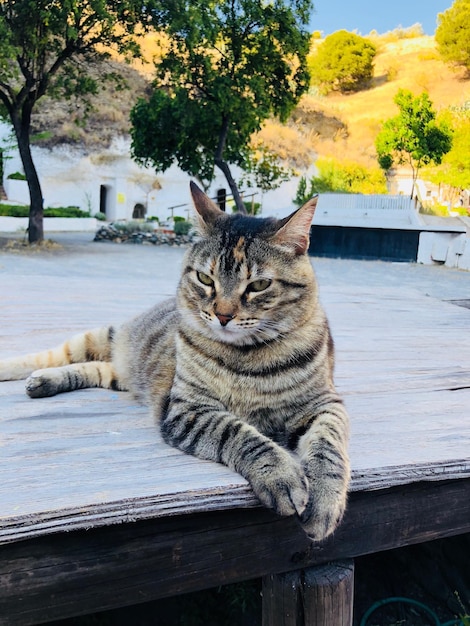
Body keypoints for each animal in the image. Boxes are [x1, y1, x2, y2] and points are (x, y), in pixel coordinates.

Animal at [0, 182, 348, 540]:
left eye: (259, 285)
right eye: (205, 279)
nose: (223, 316)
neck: (247, 356)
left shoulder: (324, 403)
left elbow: (328, 446)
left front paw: (325, 498)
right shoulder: (186, 409)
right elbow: (240, 434)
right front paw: (281, 473)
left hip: (119, 374)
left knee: (96, 369)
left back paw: (45, 382)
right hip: (101, 337)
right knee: (53, 355)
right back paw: (28, 374)